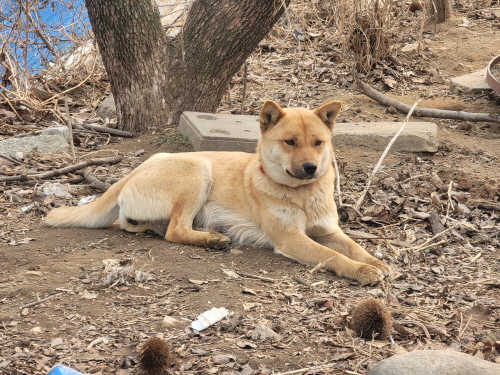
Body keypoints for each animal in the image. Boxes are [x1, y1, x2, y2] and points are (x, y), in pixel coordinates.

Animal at [46, 101, 390, 286]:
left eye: (318, 142)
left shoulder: (329, 230)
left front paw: (375, 261)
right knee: (174, 231)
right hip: (198, 171)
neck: (302, 194)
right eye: (290, 142)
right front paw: (362, 271)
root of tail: (132, 172)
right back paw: (211, 239)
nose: (310, 168)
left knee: (141, 225)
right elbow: (333, 256)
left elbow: (353, 245)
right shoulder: (291, 238)